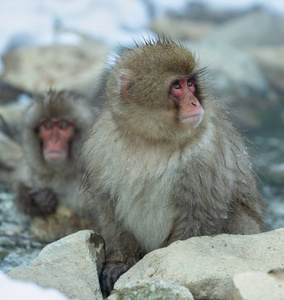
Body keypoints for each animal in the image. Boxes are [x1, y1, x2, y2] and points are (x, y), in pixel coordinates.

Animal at [80, 38, 264, 296]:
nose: (194, 102)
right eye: (177, 86)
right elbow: (108, 207)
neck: (151, 139)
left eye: (190, 84)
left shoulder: (205, 153)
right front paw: (119, 263)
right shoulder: (100, 146)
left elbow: (200, 214)